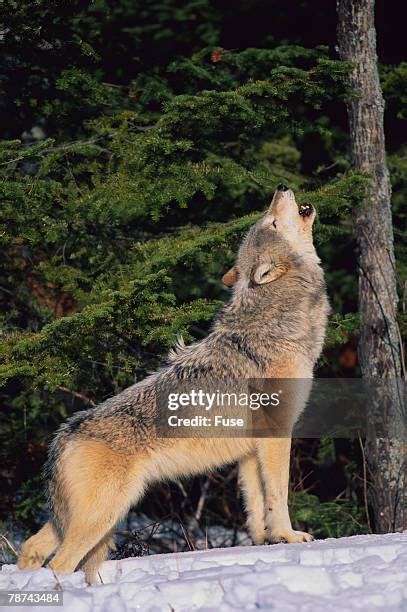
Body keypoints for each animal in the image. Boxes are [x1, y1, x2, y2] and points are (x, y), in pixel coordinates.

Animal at [17, 185, 330, 584]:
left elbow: (256, 502)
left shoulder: (249, 452)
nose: (281, 188)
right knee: (60, 563)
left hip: (78, 519)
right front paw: (289, 536)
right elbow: (278, 494)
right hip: (102, 517)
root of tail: (63, 434)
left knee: (31, 546)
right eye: (272, 220)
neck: (277, 319)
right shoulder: (276, 435)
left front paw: (264, 542)